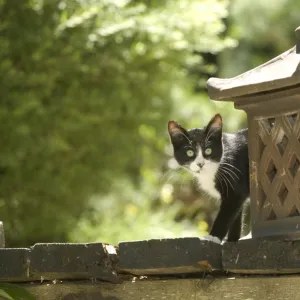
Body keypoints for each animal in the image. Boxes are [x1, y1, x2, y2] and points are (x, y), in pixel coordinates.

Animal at [168, 113, 250, 243]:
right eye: (190, 152)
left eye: (208, 150)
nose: (200, 164)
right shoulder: (238, 194)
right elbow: (236, 215)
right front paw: (232, 240)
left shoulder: (235, 189)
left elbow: (226, 214)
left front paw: (213, 237)